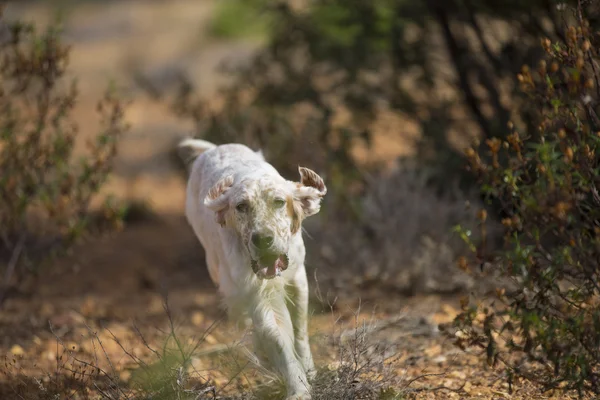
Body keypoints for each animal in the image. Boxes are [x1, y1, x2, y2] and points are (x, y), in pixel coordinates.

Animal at [179, 139, 326, 398]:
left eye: (279, 202)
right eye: (241, 206)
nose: (262, 239)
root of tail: (213, 148)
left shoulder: (297, 279)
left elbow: (299, 329)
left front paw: (308, 370)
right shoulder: (255, 292)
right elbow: (278, 339)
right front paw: (298, 388)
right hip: (218, 271)